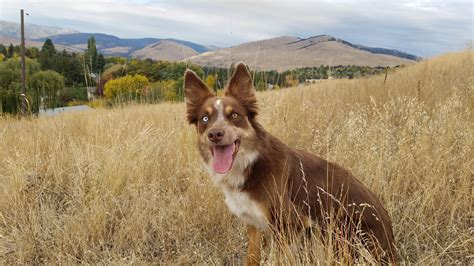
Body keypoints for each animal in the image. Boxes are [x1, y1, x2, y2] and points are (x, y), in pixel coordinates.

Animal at [184, 62, 396, 264]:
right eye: (205, 118)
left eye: (234, 115)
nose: (215, 134)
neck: (251, 163)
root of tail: (391, 243)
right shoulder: (253, 223)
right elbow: (252, 257)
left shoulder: (291, 224)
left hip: (332, 232)